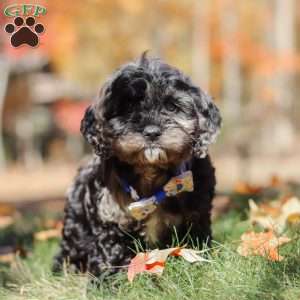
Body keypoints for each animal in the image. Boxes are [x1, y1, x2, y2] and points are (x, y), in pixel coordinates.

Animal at [54, 53, 221, 276]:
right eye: (129, 108)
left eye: (172, 107)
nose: (151, 132)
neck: (151, 173)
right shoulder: (111, 218)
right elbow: (111, 255)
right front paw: (108, 281)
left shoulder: (196, 210)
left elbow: (195, 242)